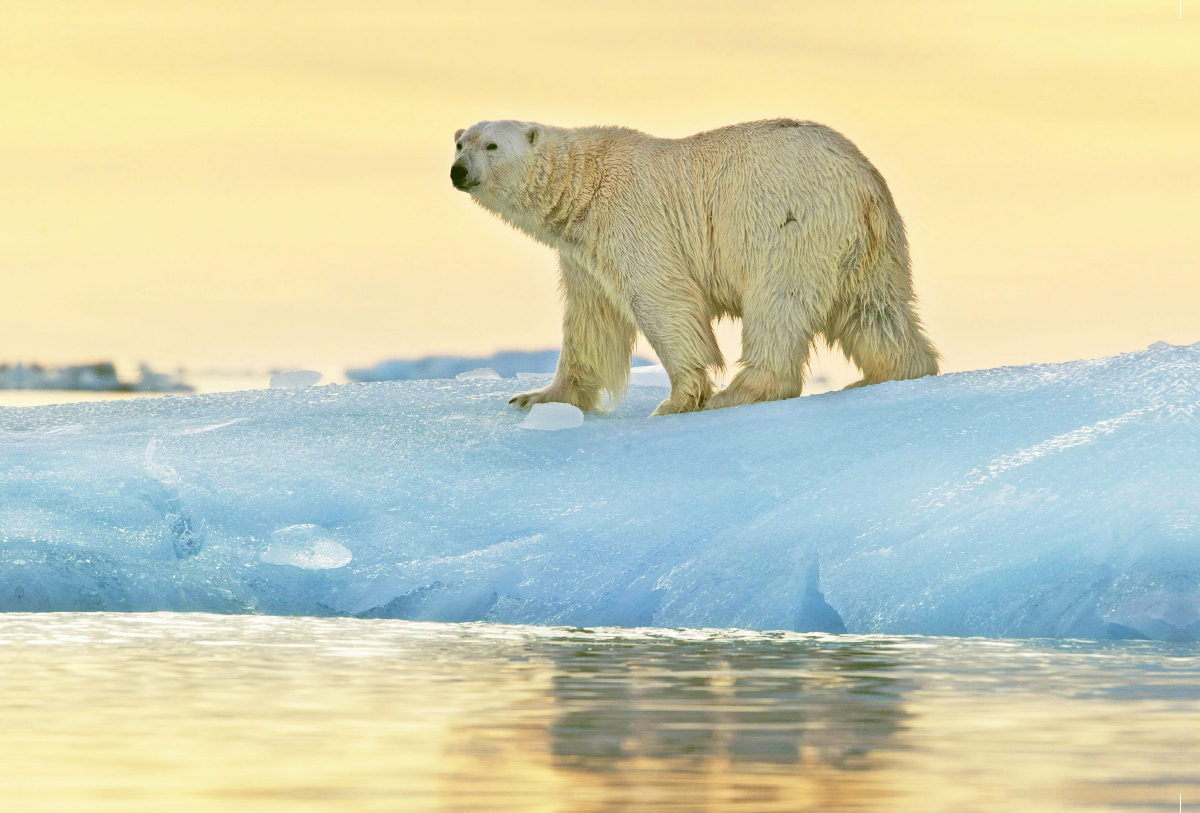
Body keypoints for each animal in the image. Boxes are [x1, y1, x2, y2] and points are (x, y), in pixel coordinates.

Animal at [451, 118, 936, 417]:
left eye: (491, 145)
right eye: (459, 143)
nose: (458, 171)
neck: (584, 187)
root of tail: (864, 183)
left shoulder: (633, 221)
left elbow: (664, 299)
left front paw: (678, 399)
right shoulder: (582, 255)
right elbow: (591, 322)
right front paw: (534, 398)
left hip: (787, 226)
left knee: (777, 306)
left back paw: (740, 392)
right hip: (869, 247)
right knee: (875, 313)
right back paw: (891, 373)